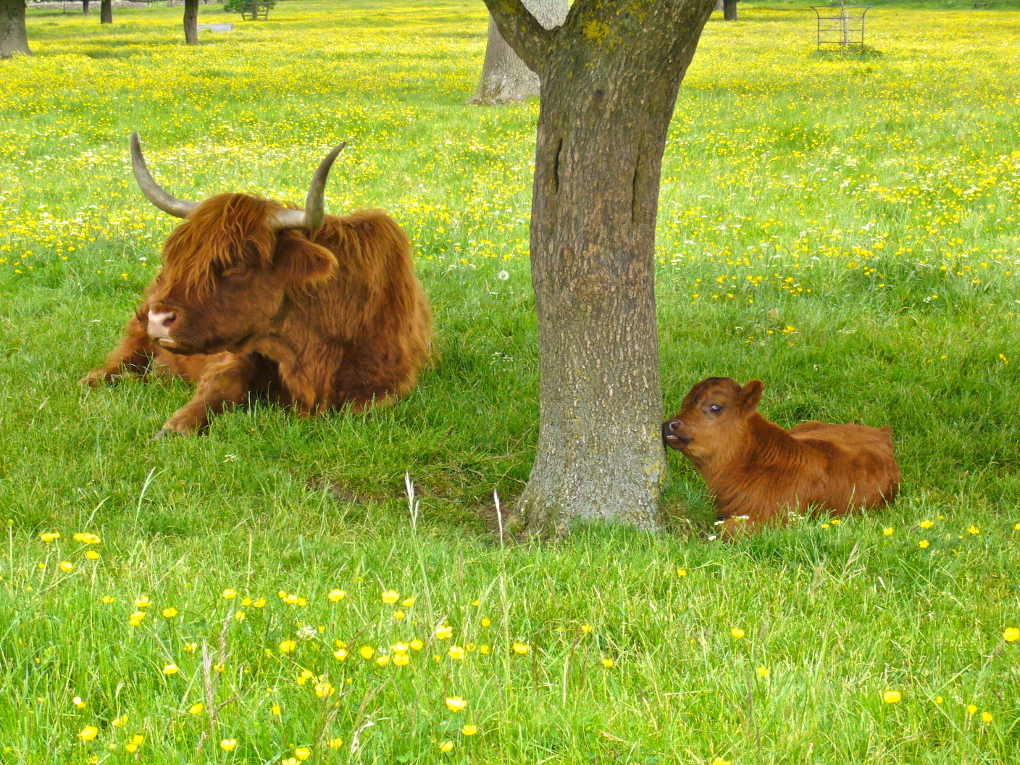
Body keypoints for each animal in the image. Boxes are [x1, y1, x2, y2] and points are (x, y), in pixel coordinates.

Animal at [80, 134, 430, 440]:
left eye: (238, 262)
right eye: (178, 257)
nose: (159, 319)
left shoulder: (389, 380)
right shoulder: (235, 355)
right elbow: (221, 385)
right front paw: (177, 426)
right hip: (138, 328)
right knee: (125, 358)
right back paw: (98, 379)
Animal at [665, 379, 897, 534]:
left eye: (715, 407)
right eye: (685, 403)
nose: (670, 424)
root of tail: (881, 432)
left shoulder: (778, 519)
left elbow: (725, 530)